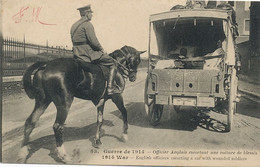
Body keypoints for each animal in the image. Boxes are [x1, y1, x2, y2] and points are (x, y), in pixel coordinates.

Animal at [18, 45, 146, 162]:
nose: (133, 77)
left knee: (30, 122)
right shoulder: (117, 96)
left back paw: (23, 153)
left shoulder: (101, 101)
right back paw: (64, 156)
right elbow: (124, 112)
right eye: (137, 60)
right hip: (64, 103)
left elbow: (100, 120)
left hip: (43, 101)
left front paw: (97, 141)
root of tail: (46, 65)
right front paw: (124, 135)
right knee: (57, 126)